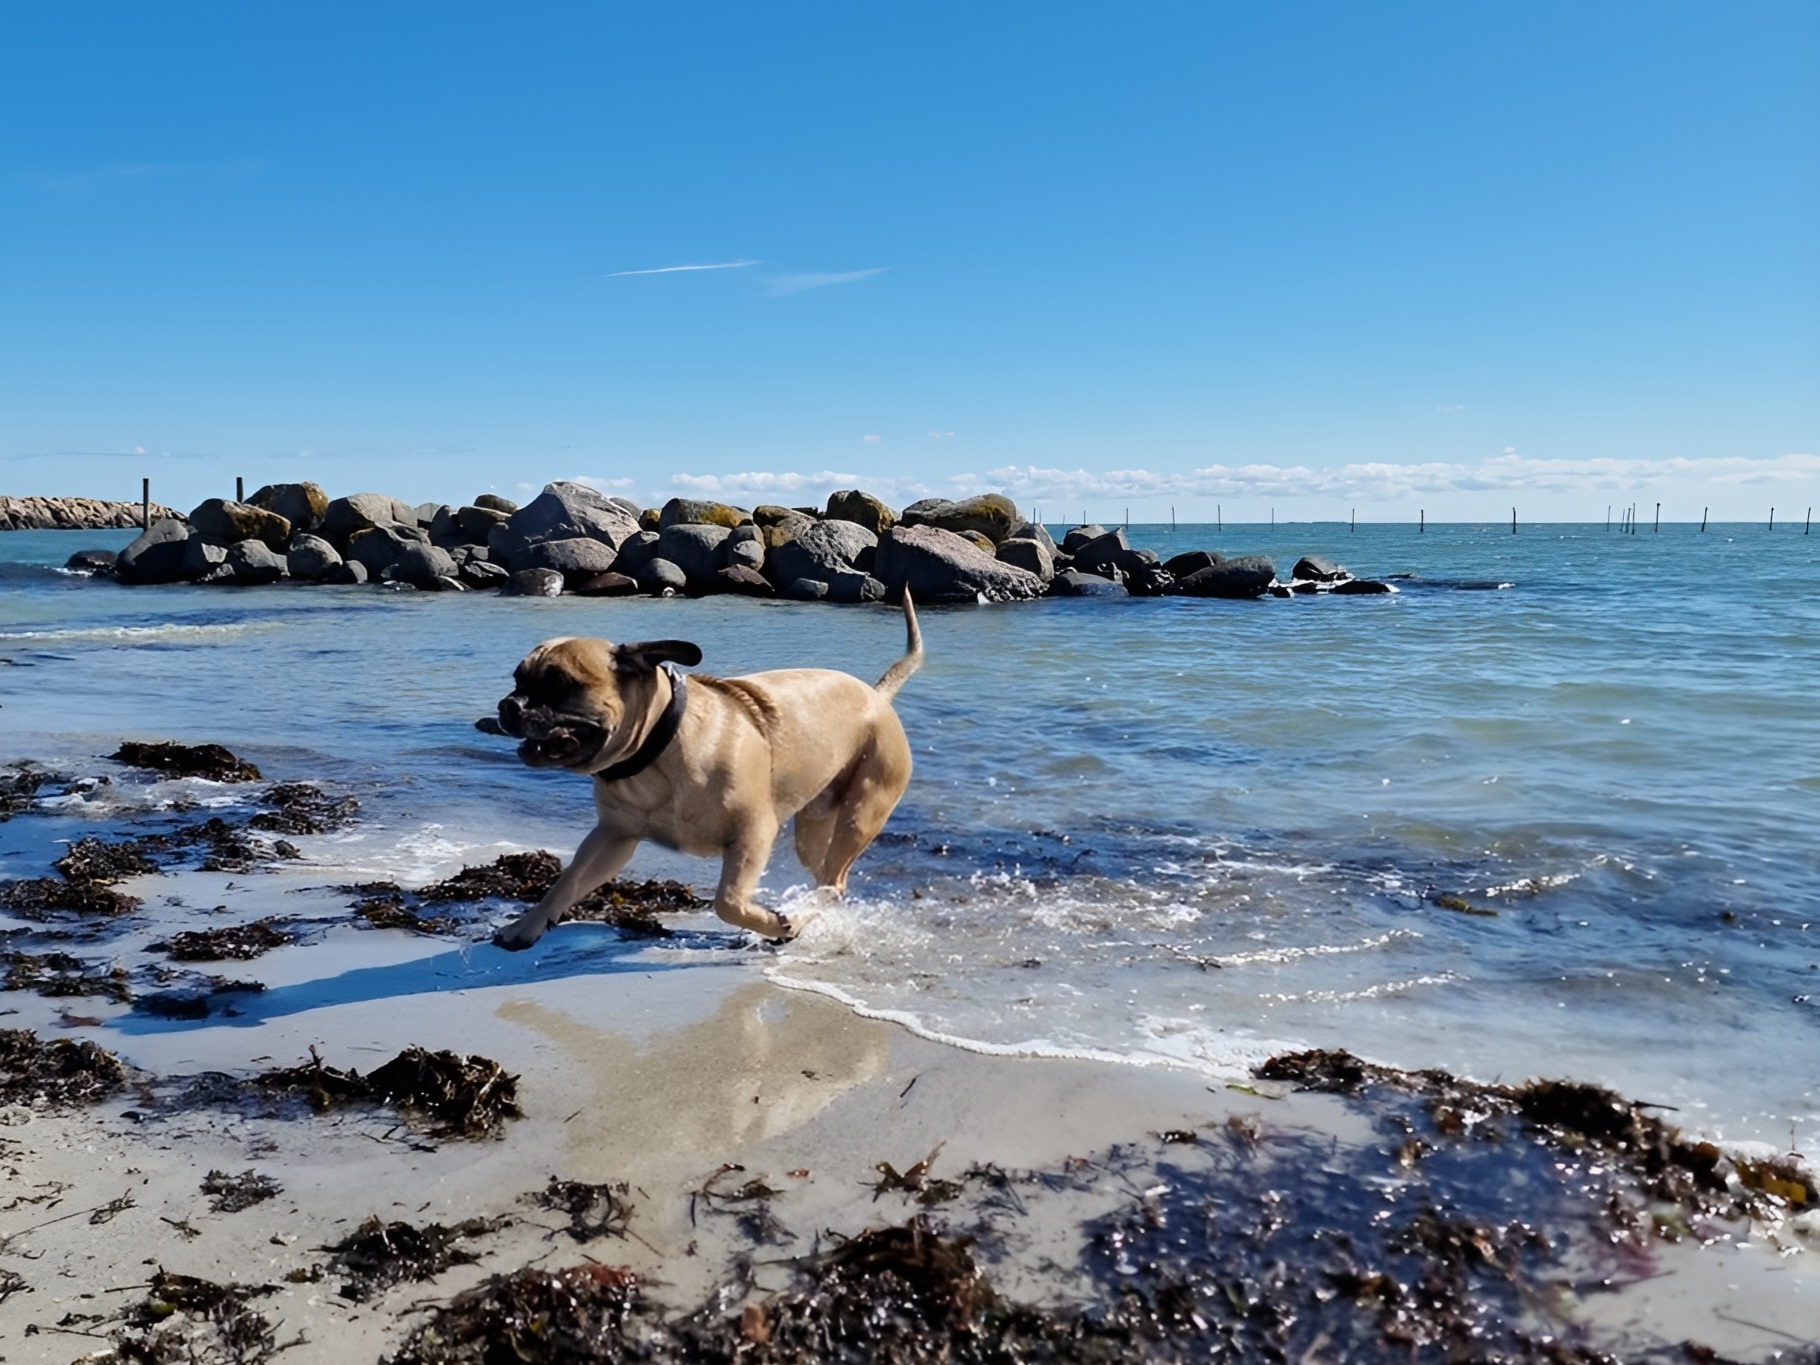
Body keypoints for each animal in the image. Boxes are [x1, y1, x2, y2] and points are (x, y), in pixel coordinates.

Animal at [491, 593, 917, 953]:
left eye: (560, 684)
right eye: (517, 679)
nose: (509, 704)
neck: (655, 750)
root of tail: (877, 696)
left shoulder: (752, 834)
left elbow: (727, 902)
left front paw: (774, 922)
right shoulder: (612, 837)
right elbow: (566, 882)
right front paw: (526, 925)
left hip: (862, 813)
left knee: (835, 882)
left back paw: (795, 917)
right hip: (815, 828)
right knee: (828, 877)